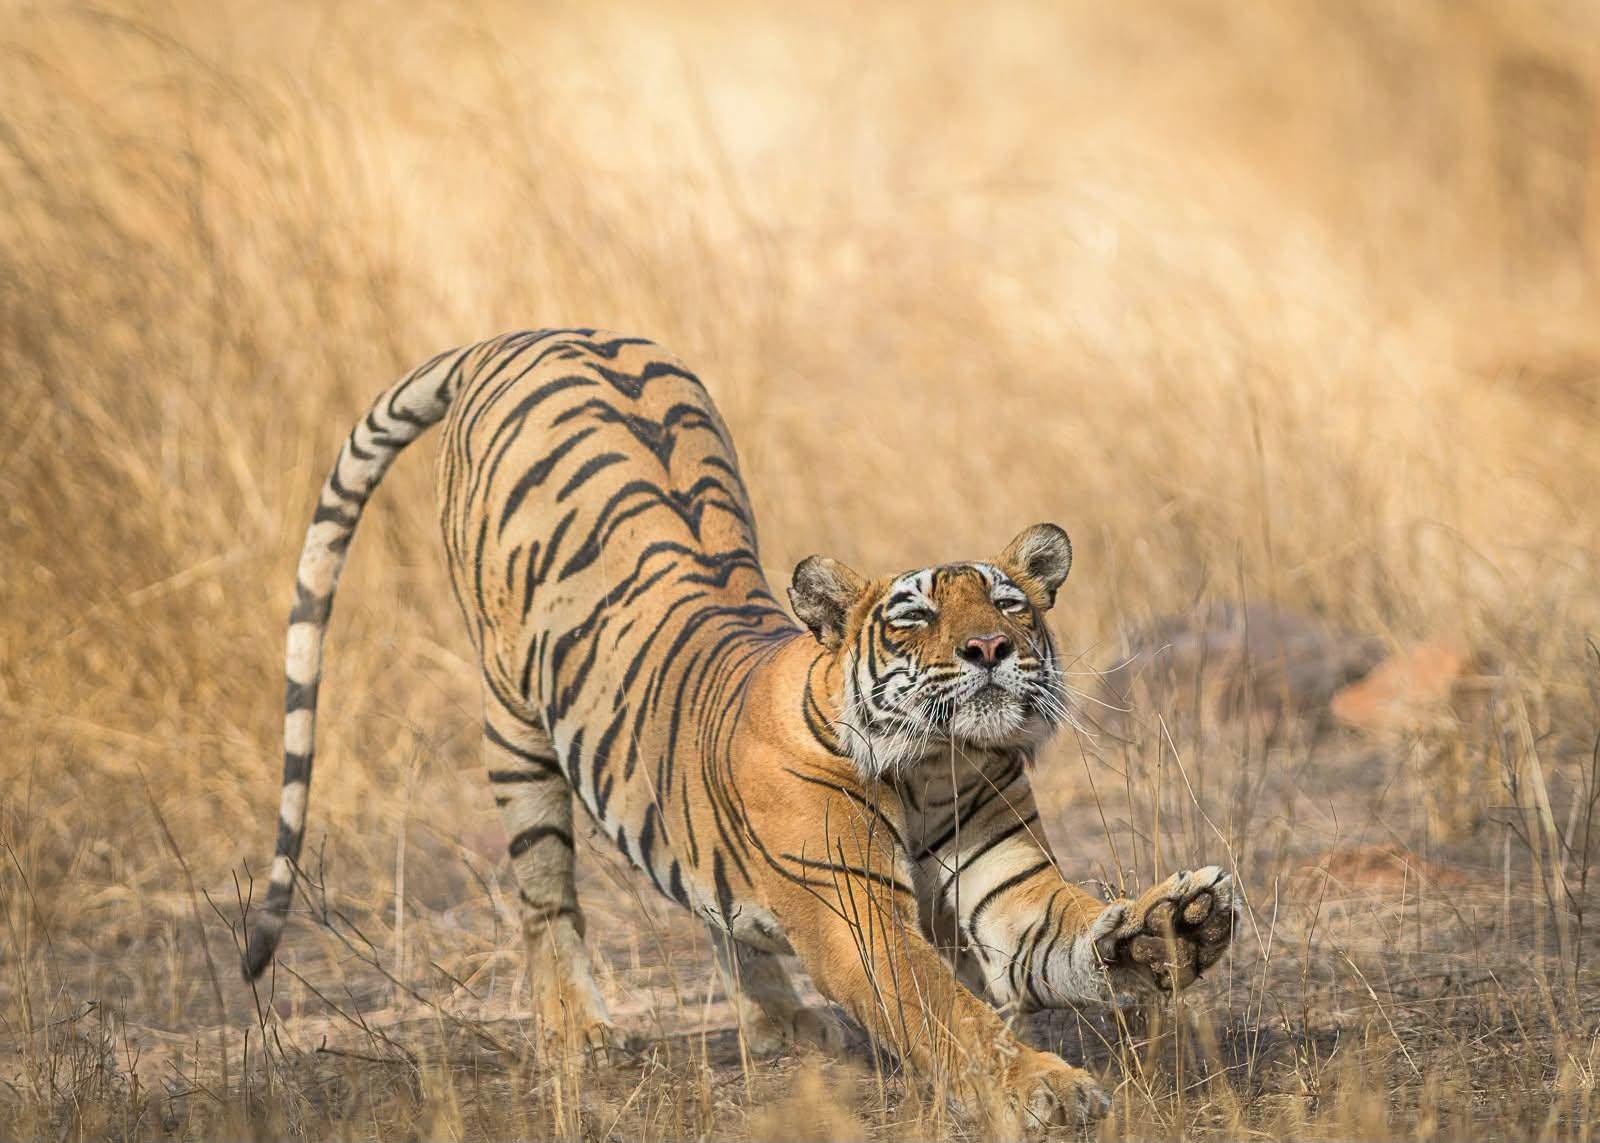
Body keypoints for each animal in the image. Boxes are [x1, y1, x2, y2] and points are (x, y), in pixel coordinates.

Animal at [243, 329, 1238, 1134]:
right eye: (915, 616)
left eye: (1009, 603)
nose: (991, 647)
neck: (931, 764)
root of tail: (519, 332)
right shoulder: (857, 915)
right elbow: (943, 1010)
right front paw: (1042, 1087)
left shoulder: (1010, 892)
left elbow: (1068, 932)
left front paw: (1173, 924)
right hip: (512, 720)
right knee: (544, 891)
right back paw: (583, 1033)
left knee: (714, 905)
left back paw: (783, 1025)